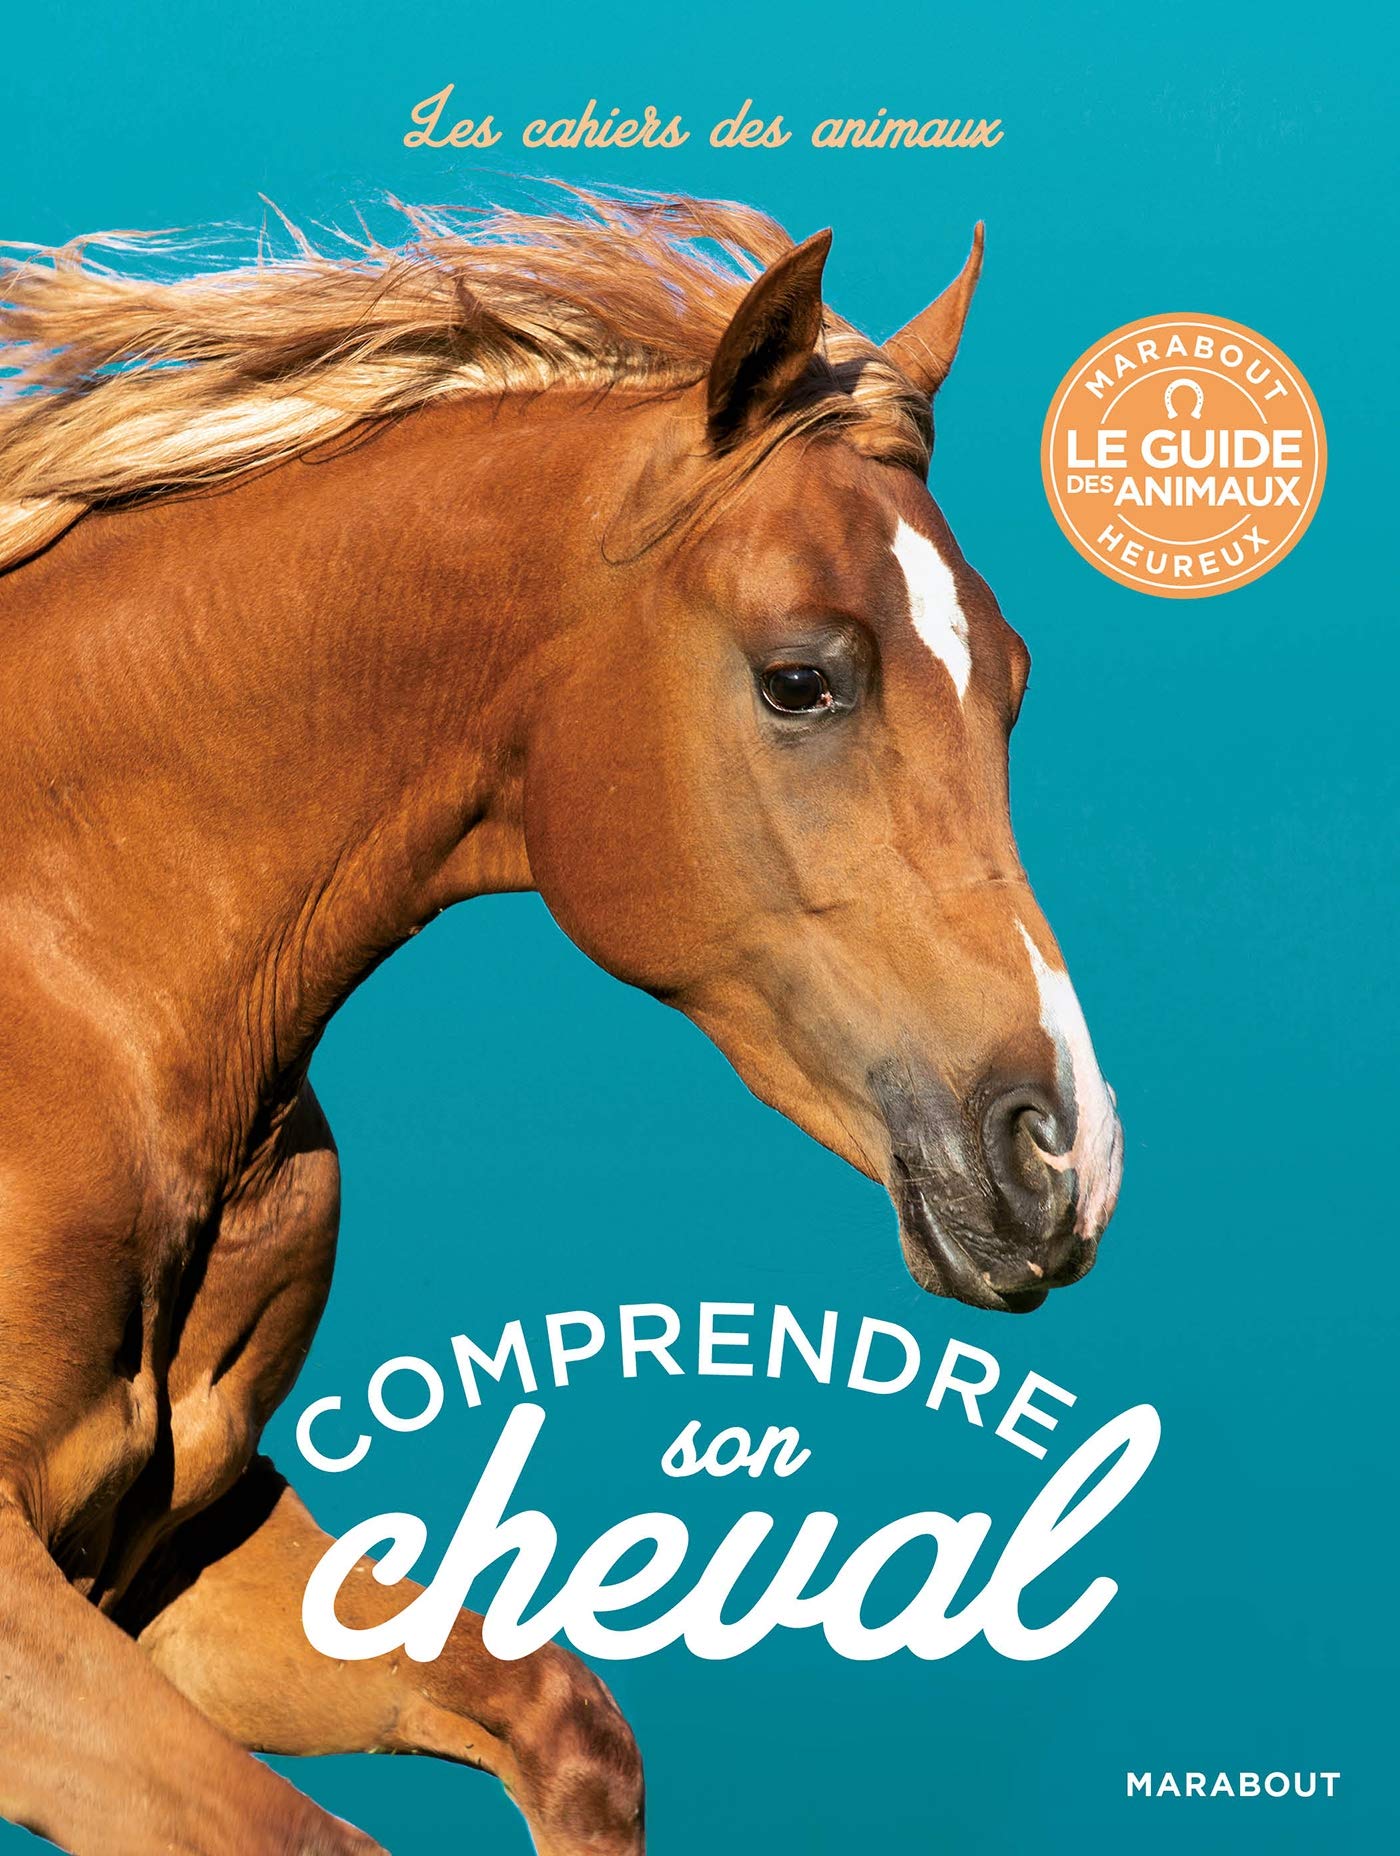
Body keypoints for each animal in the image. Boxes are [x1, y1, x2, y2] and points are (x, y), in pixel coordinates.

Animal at [0, 191, 1123, 1855]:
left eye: (1015, 686)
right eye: (803, 680)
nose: (1060, 1153)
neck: (71, 997)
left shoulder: (178, 1557)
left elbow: (566, 1722)